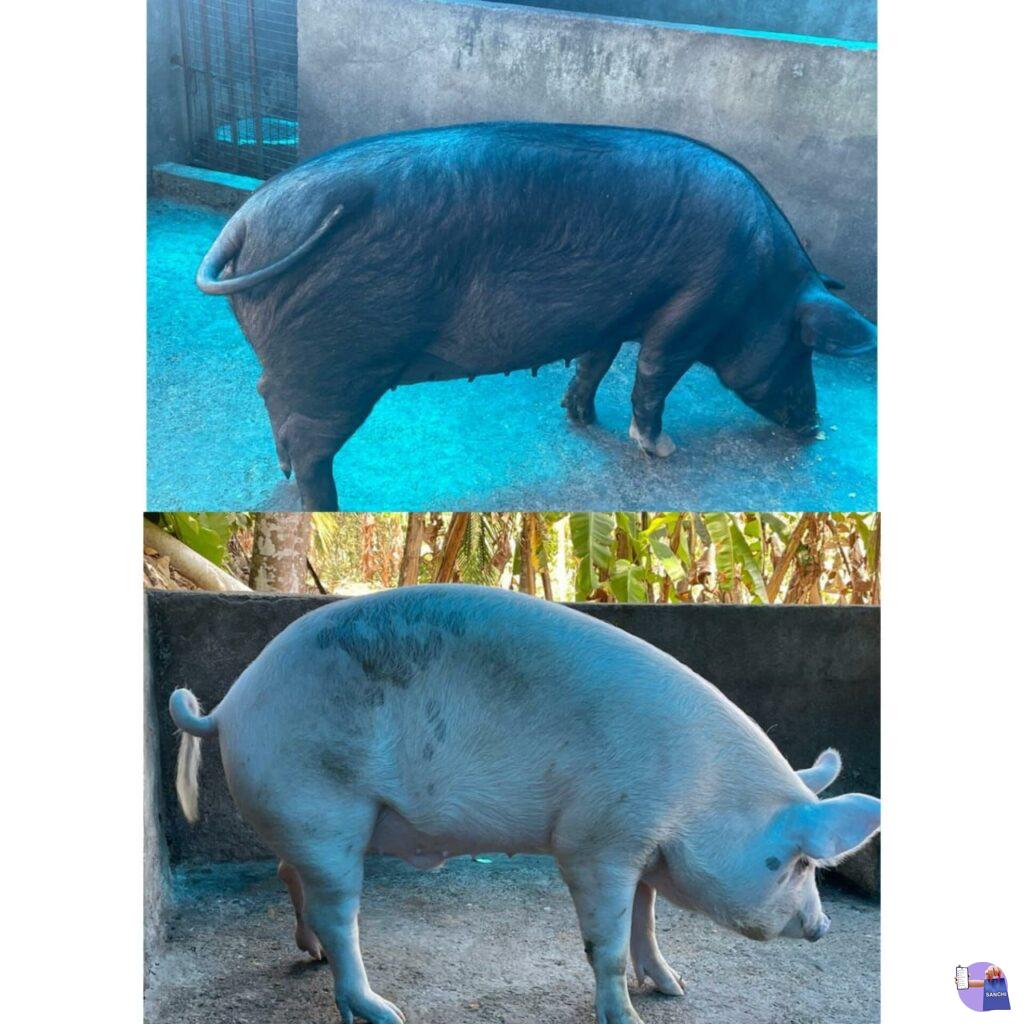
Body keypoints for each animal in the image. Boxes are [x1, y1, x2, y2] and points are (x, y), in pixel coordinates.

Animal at [170, 586, 880, 1024]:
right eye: (797, 863)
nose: (823, 926)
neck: (699, 793)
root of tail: (229, 706)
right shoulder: (594, 842)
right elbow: (607, 942)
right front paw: (626, 1017)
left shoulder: (639, 846)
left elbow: (646, 922)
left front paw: (676, 988)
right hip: (323, 808)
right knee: (341, 913)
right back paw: (382, 1011)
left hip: (305, 821)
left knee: (291, 877)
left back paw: (311, 952)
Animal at [195, 122, 877, 510]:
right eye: (802, 349)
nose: (814, 426)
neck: (761, 284)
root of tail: (242, 222)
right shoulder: (691, 309)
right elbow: (653, 376)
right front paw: (663, 451)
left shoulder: (614, 315)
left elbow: (595, 361)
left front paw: (579, 417)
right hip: (341, 364)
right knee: (310, 440)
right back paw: (328, 505)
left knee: (271, 400)